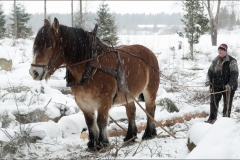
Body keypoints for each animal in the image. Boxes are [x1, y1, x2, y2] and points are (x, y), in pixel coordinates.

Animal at [29, 17, 159, 150]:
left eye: (49, 45)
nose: (34, 72)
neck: (90, 66)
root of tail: (149, 52)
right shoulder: (82, 102)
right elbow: (90, 122)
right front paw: (92, 144)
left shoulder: (104, 100)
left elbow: (101, 122)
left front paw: (103, 144)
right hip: (128, 94)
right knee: (131, 112)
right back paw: (130, 137)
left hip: (150, 90)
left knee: (150, 109)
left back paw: (149, 134)